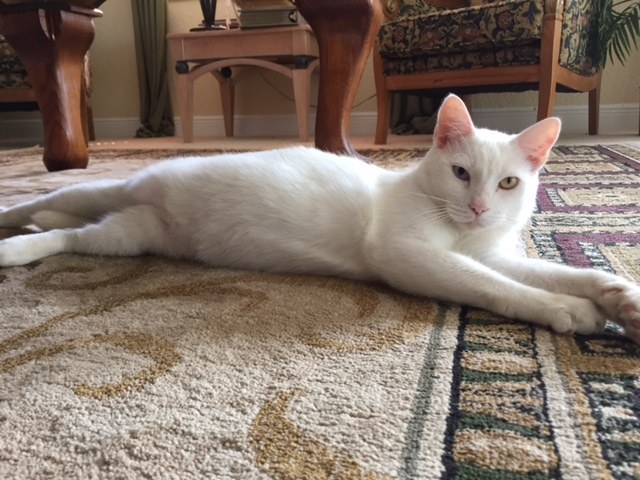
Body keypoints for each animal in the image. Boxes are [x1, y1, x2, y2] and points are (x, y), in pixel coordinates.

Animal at [0, 94, 636, 342]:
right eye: (461, 173)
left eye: (508, 184)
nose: (479, 207)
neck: (460, 231)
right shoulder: (409, 255)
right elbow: (494, 285)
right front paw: (565, 309)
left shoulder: (493, 252)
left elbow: (551, 272)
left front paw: (617, 297)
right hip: (116, 187)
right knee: (42, 206)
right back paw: (13, 233)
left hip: (129, 237)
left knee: (70, 234)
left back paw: (37, 234)